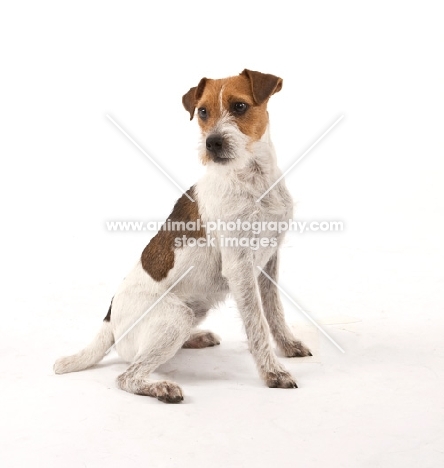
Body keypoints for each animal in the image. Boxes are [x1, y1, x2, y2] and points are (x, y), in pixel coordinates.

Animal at [54, 68, 312, 402]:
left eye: (240, 106)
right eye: (202, 112)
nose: (212, 143)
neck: (253, 180)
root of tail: (109, 320)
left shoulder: (269, 261)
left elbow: (274, 312)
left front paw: (288, 346)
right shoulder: (239, 267)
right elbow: (257, 326)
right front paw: (272, 372)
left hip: (190, 313)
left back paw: (195, 339)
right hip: (175, 318)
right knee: (127, 376)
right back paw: (161, 387)